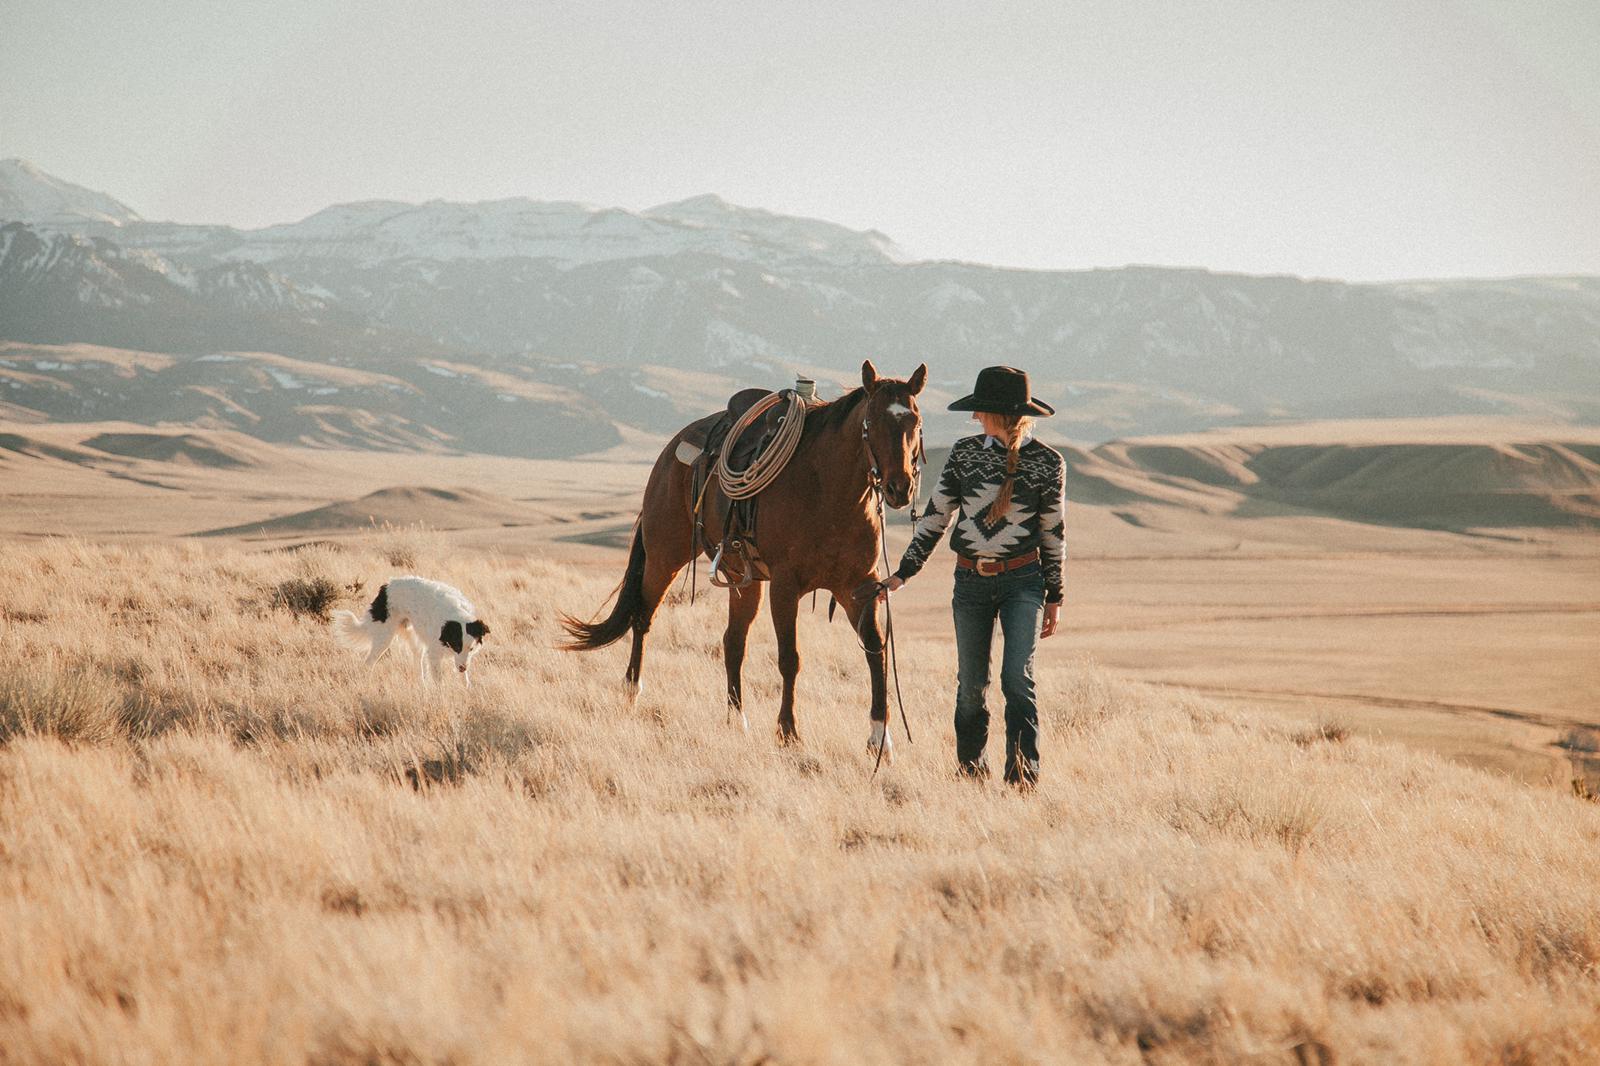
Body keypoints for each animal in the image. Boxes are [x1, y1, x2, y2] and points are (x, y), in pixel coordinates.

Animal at [329, 573, 486, 681]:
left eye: (471, 649)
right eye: (456, 646)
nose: (462, 668)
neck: (455, 616)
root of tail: (387, 586)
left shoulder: (460, 657)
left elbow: (464, 680)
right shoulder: (434, 654)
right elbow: (439, 681)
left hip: (412, 637)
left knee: (417, 660)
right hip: (384, 638)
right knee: (369, 662)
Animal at [560, 358, 928, 755]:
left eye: (915, 421)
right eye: (871, 422)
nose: (899, 488)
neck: (827, 490)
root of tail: (670, 451)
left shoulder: (859, 586)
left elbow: (875, 651)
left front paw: (880, 738)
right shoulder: (785, 586)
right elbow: (790, 658)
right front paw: (788, 732)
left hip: (742, 580)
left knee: (733, 641)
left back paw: (736, 719)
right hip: (664, 556)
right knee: (644, 618)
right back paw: (631, 691)